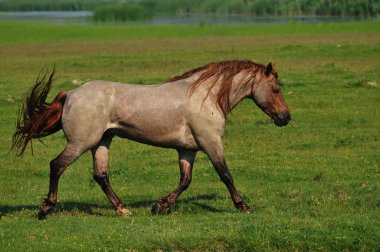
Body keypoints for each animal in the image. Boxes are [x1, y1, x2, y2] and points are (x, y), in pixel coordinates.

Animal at [11, 59, 290, 219]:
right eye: (276, 89)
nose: (285, 118)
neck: (205, 97)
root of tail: (71, 94)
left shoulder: (187, 150)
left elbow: (185, 181)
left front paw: (160, 206)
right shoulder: (211, 142)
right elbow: (225, 175)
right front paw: (243, 206)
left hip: (102, 142)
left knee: (101, 175)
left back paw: (123, 210)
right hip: (81, 143)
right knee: (57, 165)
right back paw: (45, 208)